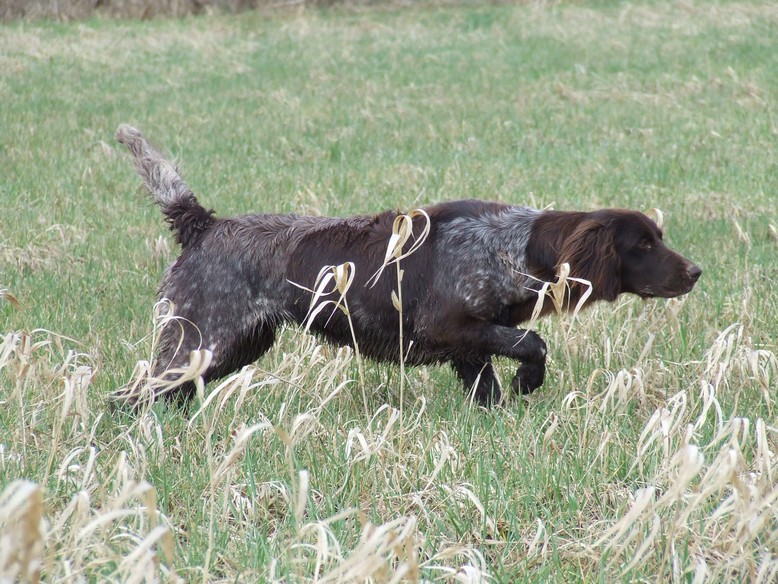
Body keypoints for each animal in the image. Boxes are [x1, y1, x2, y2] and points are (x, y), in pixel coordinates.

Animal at [115, 125, 702, 406]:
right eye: (643, 244)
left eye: (658, 238)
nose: (696, 272)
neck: (515, 246)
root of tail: (202, 224)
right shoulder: (449, 326)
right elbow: (534, 343)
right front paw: (529, 382)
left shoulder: (472, 348)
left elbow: (493, 385)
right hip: (199, 342)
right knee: (130, 397)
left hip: (230, 347)